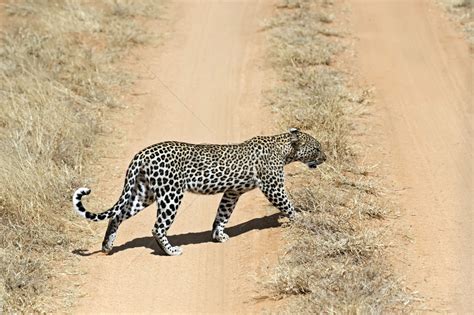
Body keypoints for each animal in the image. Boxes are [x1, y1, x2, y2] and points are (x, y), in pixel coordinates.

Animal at [73, 128, 326, 256]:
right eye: (316, 148)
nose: (325, 157)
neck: (283, 149)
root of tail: (141, 154)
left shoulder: (232, 192)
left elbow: (222, 215)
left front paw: (219, 236)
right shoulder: (273, 186)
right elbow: (288, 205)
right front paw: (303, 220)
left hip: (143, 193)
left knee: (117, 215)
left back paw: (107, 246)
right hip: (171, 194)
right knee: (157, 227)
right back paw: (171, 251)